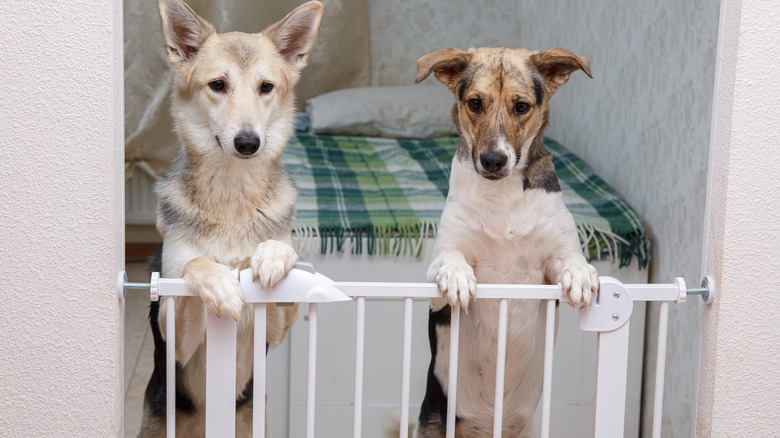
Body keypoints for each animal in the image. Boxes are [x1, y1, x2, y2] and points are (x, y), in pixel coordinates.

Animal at [139, 1, 322, 436]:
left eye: (266, 87)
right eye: (218, 85)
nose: (248, 142)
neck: (232, 198)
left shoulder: (274, 328)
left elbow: (282, 262)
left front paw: (271, 258)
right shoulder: (175, 334)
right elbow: (195, 263)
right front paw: (221, 283)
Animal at [418, 48, 600, 438]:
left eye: (521, 106)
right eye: (474, 103)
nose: (492, 160)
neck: (502, 198)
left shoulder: (552, 261)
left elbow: (572, 259)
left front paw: (581, 276)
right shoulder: (436, 285)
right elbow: (450, 262)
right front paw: (458, 278)